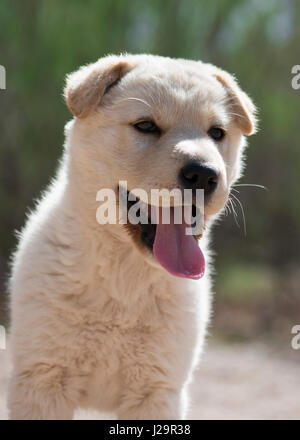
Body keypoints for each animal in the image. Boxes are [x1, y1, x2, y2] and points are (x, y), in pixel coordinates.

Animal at [7, 54, 255, 420]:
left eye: (216, 133)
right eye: (146, 126)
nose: (203, 174)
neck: (125, 274)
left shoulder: (157, 391)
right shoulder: (42, 380)